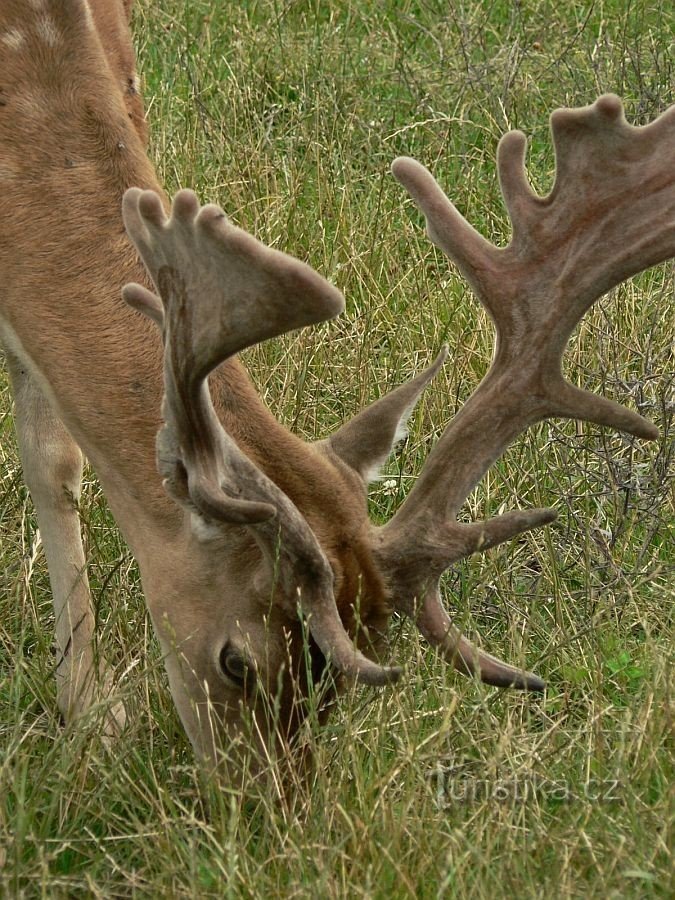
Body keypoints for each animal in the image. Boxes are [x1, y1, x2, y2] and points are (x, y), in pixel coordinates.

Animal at [1, 0, 675, 776]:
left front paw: (86, 715)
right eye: (236, 661)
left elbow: (55, 455)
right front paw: (89, 717)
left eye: (335, 694)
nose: (262, 801)